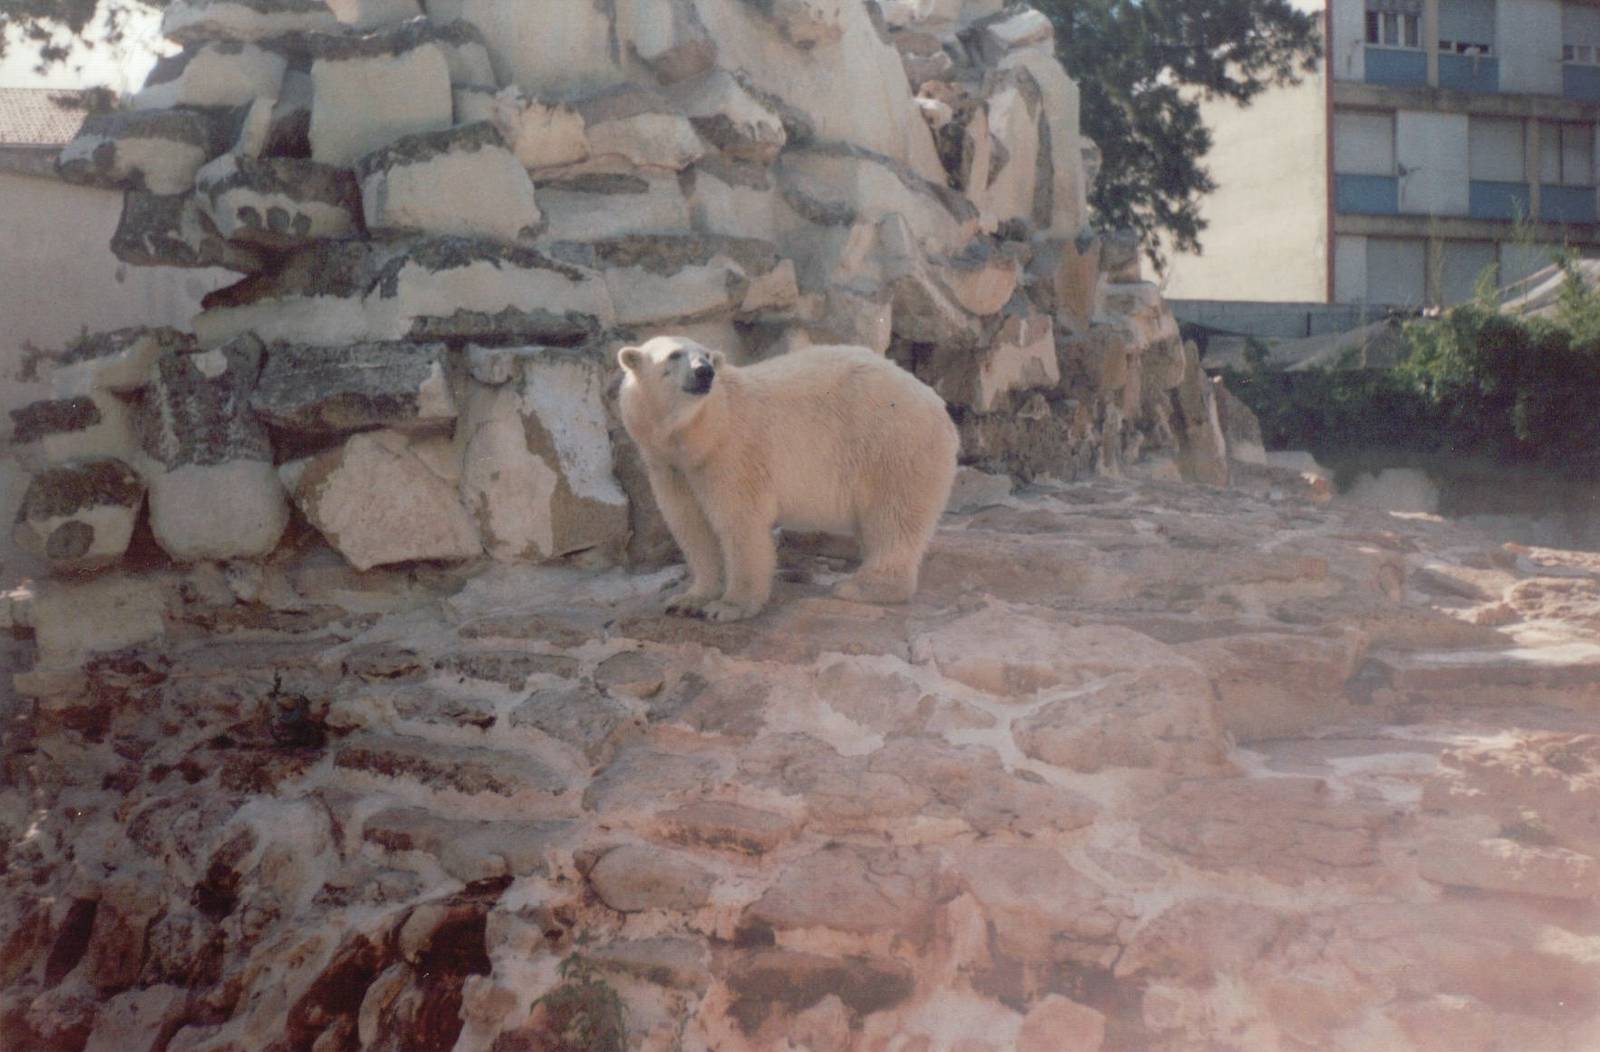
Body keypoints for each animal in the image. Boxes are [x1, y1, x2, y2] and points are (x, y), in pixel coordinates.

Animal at [617, 335, 959, 622]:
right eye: (674, 354)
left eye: (707, 355)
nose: (704, 372)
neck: (703, 432)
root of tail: (936, 403)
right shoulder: (671, 468)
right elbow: (692, 526)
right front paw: (688, 599)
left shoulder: (731, 454)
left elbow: (740, 524)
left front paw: (728, 606)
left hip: (892, 443)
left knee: (894, 517)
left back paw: (862, 586)